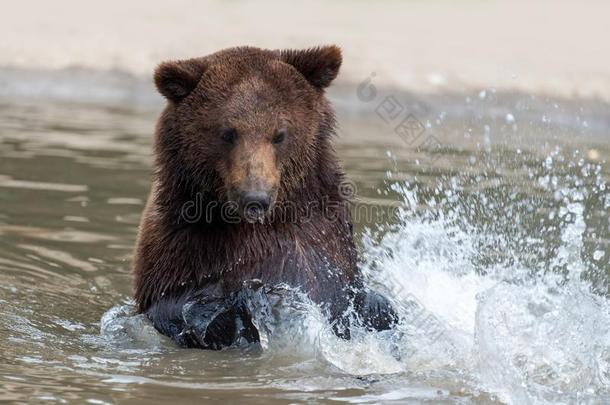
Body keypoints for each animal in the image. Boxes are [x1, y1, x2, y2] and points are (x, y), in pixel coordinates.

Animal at [132, 43, 394, 348]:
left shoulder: (325, 241)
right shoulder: (182, 250)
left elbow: (364, 303)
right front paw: (258, 298)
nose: (254, 197)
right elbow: (186, 310)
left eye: (279, 134)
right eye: (228, 133)